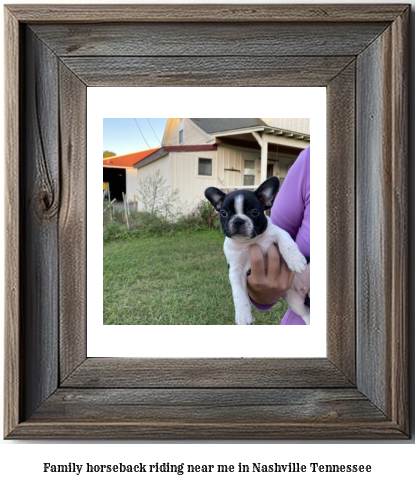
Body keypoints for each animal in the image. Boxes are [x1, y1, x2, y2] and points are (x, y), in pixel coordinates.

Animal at [206, 177, 310, 326]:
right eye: (224, 213)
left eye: (254, 212)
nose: (238, 220)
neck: (249, 241)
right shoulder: (235, 270)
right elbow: (238, 293)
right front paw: (242, 315)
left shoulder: (278, 232)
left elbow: (287, 242)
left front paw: (295, 260)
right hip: (294, 301)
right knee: (305, 311)